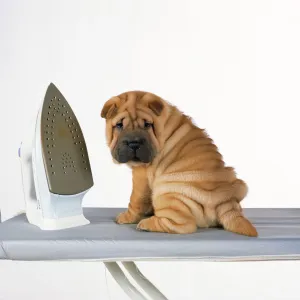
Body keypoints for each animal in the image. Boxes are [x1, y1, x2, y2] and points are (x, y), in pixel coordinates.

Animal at [101, 90, 258, 236]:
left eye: (147, 125)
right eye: (119, 125)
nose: (134, 143)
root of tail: (226, 200)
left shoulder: (141, 174)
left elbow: (135, 199)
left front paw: (126, 217)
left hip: (166, 191)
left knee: (184, 225)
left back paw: (147, 224)